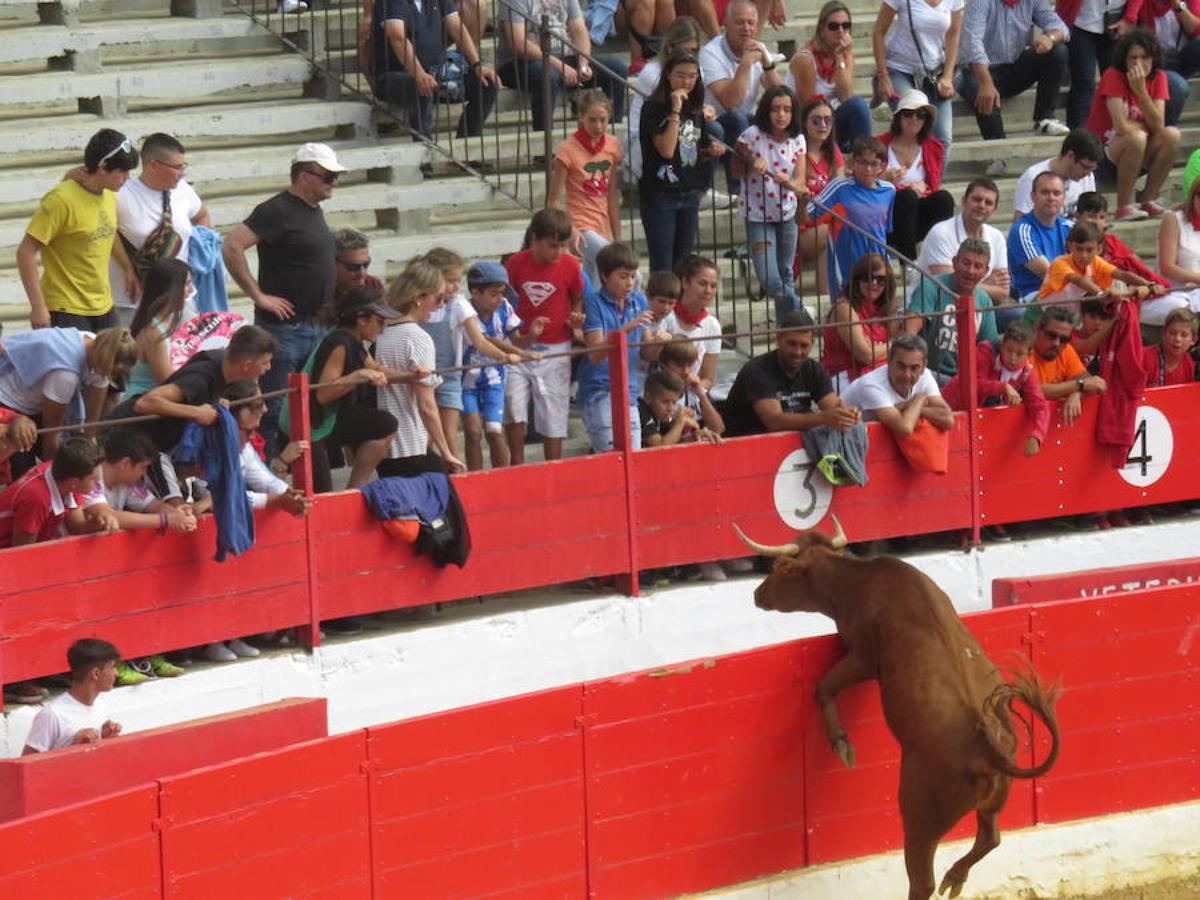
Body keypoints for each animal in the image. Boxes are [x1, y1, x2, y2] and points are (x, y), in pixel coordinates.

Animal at [734, 520, 1065, 900]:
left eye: (779, 568)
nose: (757, 594)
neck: (857, 581)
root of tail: (987, 751)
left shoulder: (862, 657)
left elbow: (824, 686)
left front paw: (843, 745)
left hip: (918, 815)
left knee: (922, 879)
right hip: (994, 800)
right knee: (990, 837)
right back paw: (956, 877)